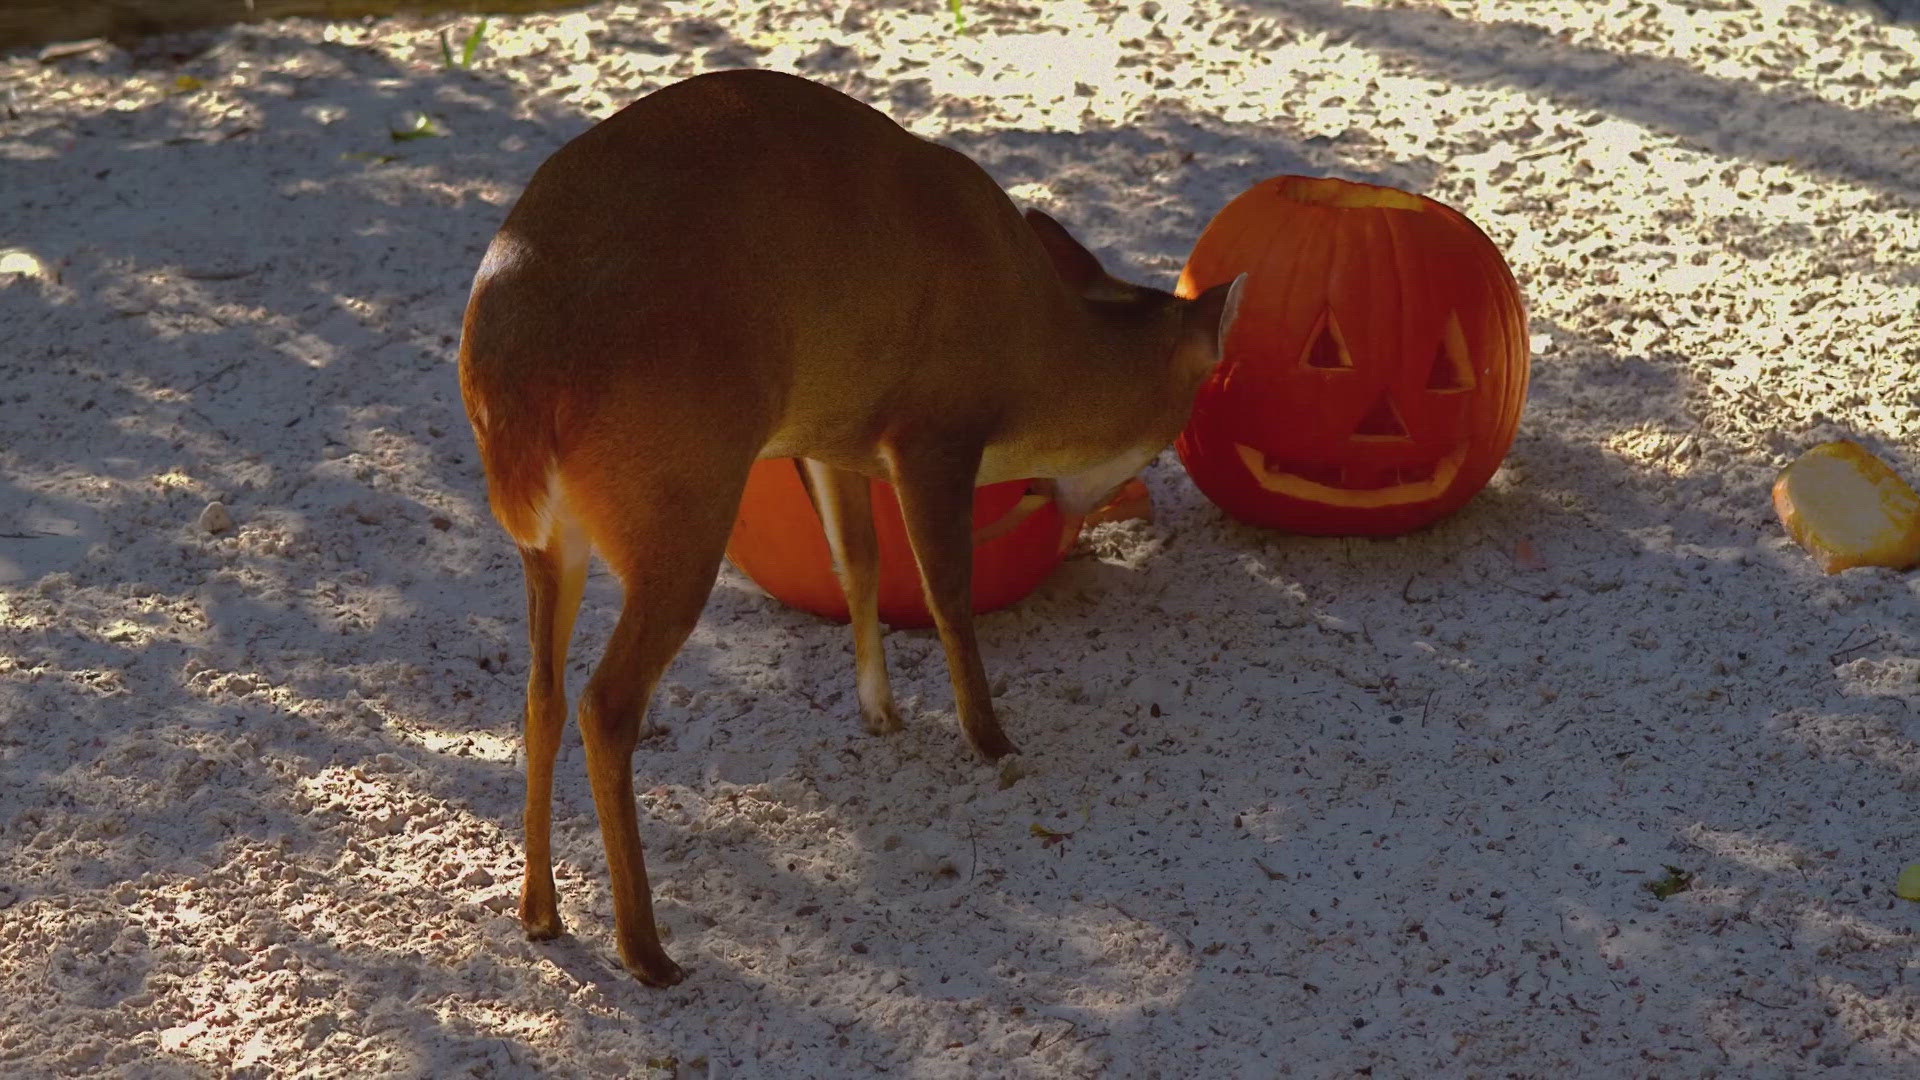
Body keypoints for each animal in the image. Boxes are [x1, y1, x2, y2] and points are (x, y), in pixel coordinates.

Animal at [462, 65, 1244, 976]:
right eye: (1194, 407)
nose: (1096, 504)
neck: (1036, 356)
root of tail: (514, 382)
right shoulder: (934, 427)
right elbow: (946, 590)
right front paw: (991, 738)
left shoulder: (829, 430)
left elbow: (858, 558)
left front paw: (881, 710)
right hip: (681, 502)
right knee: (608, 704)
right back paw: (648, 952)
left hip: (553, 541)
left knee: (542, 694)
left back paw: (541, 913)